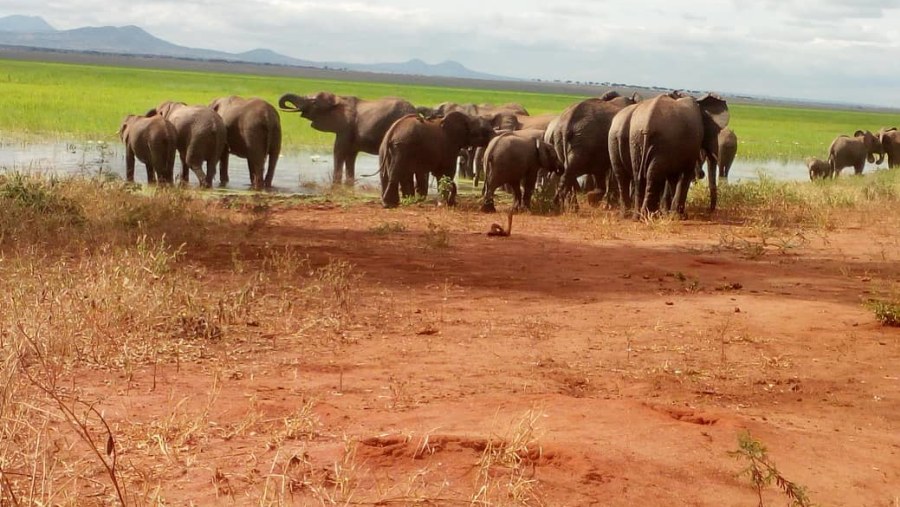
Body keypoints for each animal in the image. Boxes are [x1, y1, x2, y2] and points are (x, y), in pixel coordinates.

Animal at [280, 92, 416, 186]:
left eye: (313, 102)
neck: (338, 98)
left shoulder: (346, 128)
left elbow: (339, 151)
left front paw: (336, 185)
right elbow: (350, 156)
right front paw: (348, 185)